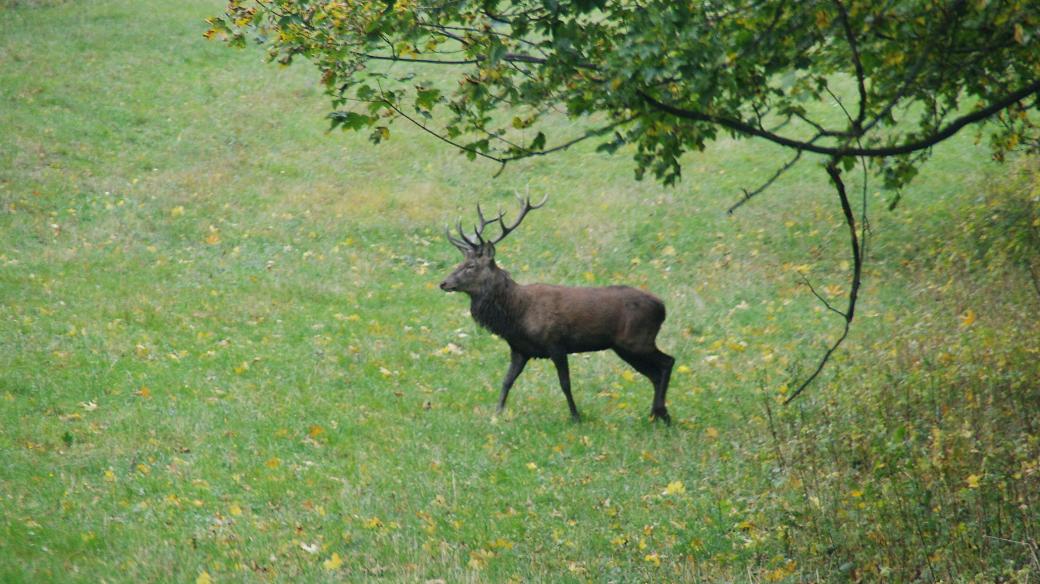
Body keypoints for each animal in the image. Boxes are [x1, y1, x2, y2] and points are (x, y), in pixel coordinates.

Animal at [436, 196, 673, 421]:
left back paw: (660, 413)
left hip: (637, 341)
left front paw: (576, 416)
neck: (517, 315)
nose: (444, 283)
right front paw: (497, 414)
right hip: (624, 347)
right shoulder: (520, 349)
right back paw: (657, 415)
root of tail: (662, 307)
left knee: (667, 362)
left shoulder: (556, 344)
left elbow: (565, 383)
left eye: (470, 266)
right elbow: (506, 381)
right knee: (654, 373)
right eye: (459, 263)